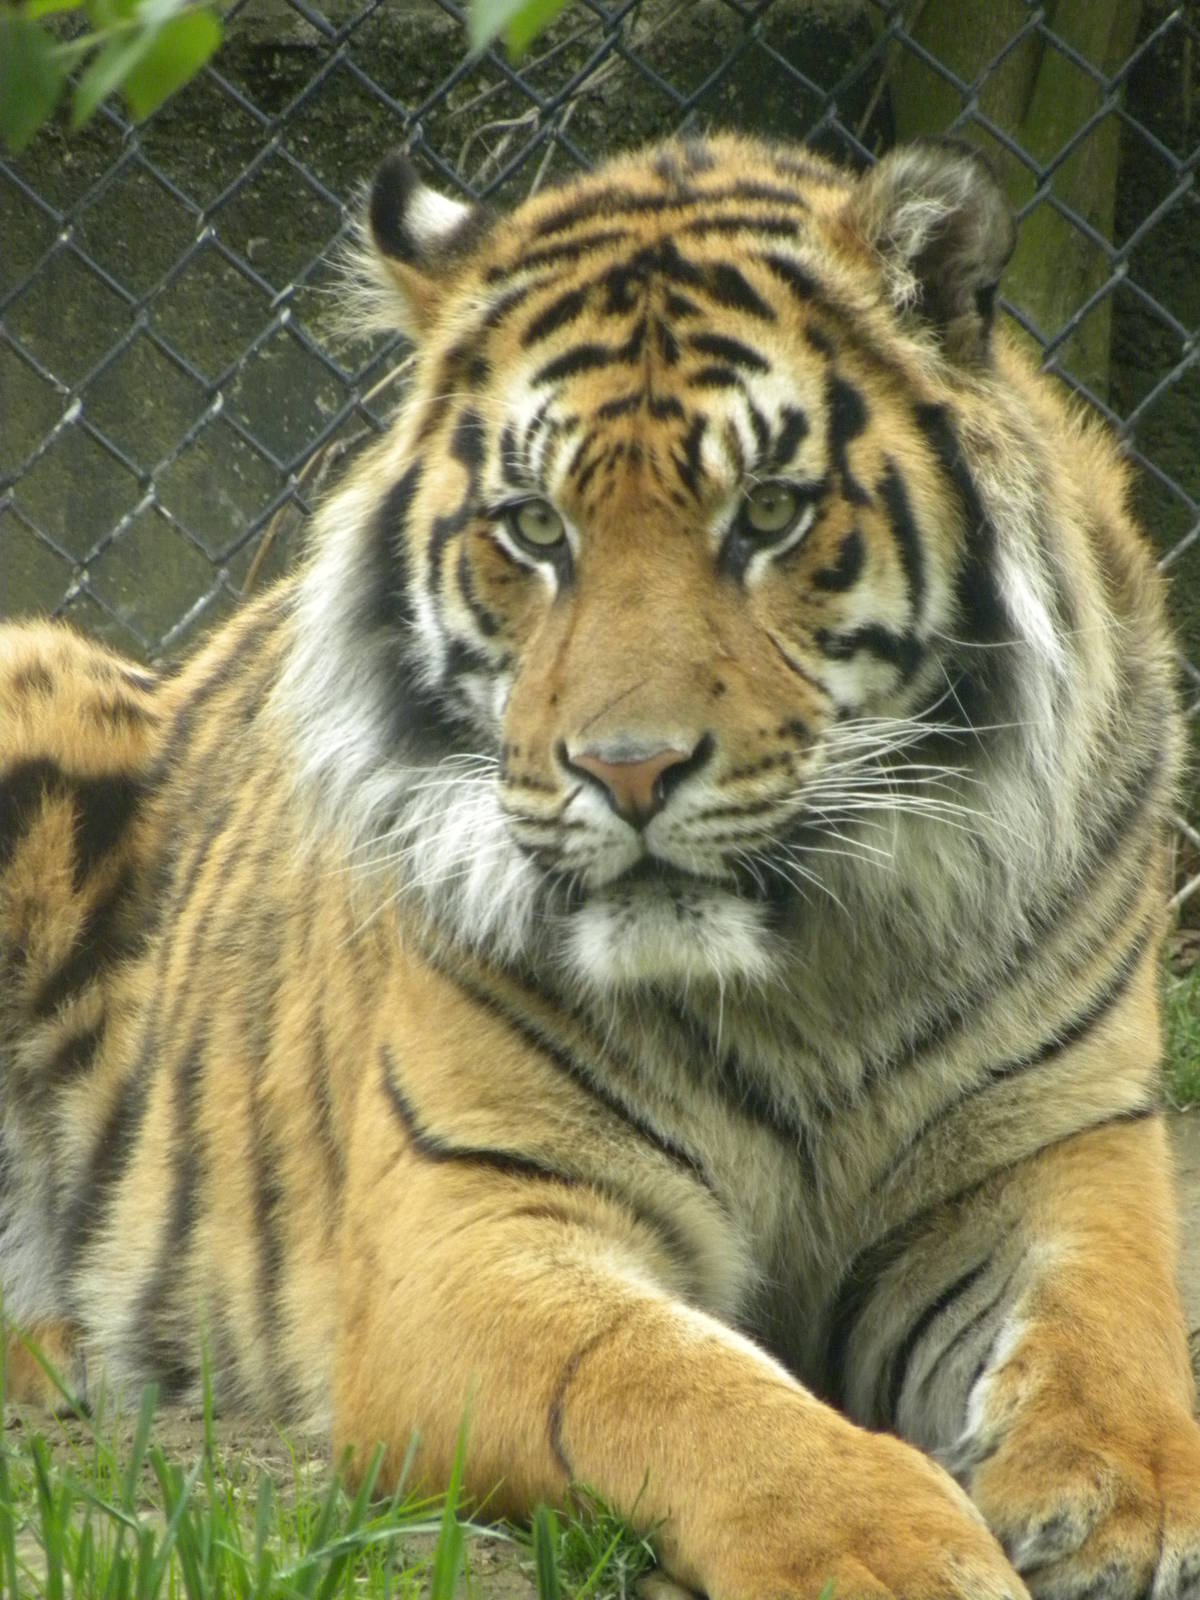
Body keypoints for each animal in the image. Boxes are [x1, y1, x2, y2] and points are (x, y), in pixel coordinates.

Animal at [2, 129, 1198, 1600]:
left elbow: (1110, 1320)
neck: (807, 972)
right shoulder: (470, 1222)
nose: (627, 771)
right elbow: (673, 1382)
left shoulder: (1057, 1145)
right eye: (533, 527)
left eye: (770, 513)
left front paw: (1123, 1498)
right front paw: (889, 1552)